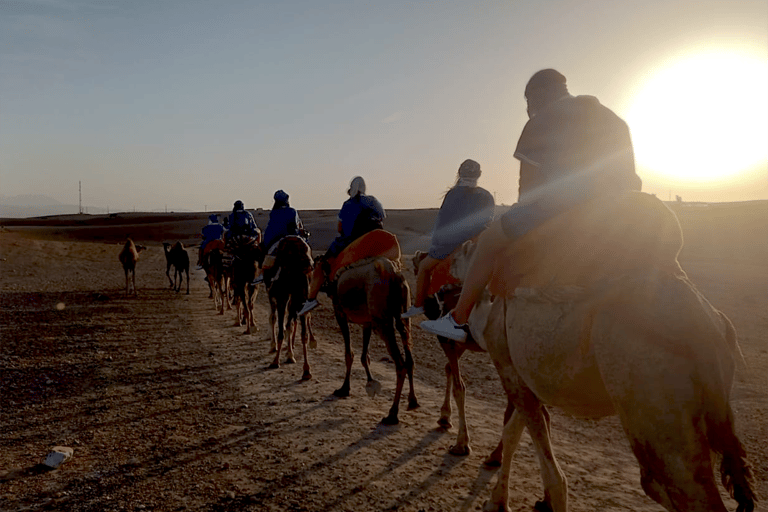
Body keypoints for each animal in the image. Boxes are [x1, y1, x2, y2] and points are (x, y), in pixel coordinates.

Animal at [266, 234, 316, 378]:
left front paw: (276, 360)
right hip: (295, 296)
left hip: (290, 296)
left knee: (284, 322)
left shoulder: (283, 296)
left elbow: (284, 327)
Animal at [326, 254, 416, 426]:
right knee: (409, 358)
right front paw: (370, 381)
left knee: (400, 364)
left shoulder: (339, 312)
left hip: (381, 320)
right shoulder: (367, 321)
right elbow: (364, 356)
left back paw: (392, 414)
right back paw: (413, 401)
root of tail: (393, 273)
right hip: (404, 312)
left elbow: (349, 354)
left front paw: (344, 389)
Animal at [412, 250, 512, 466]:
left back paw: (495, 455)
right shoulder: (459, 343)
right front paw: (444, 417)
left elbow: (460, 387)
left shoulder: (447, 340)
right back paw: (497, 454)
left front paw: (461, 444)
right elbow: (448, 368)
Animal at [450, 191, 756, 512]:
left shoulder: (508, 365)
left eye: (464, 250)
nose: (449, 260)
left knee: (669, 484)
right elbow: (512, 433)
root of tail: (704, 322)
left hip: (652, 399)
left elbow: (553, 475)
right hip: (704, 406)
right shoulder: (525, 378)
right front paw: (497, 499)